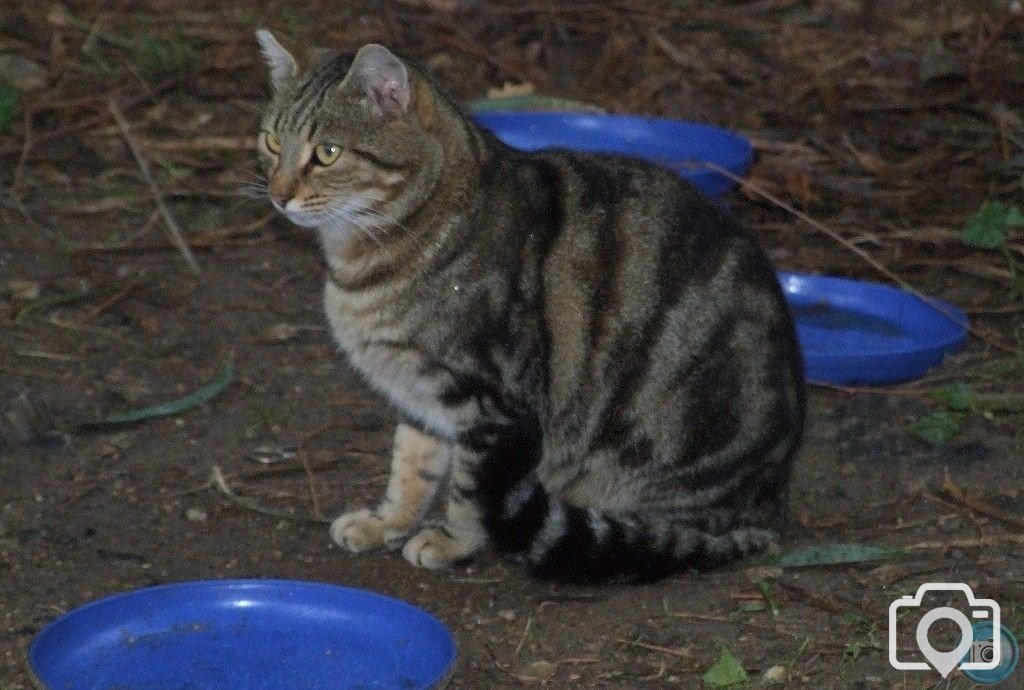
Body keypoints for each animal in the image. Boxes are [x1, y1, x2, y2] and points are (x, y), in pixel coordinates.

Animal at [251, 30, 802, 581]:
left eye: (327, 153)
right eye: (272, 142)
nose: (278, 196)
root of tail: (771, 505)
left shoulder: (490, 400)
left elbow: (468, 489)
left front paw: (453, 542)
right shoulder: (419, 393)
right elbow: (411, 465)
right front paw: (387, 523)